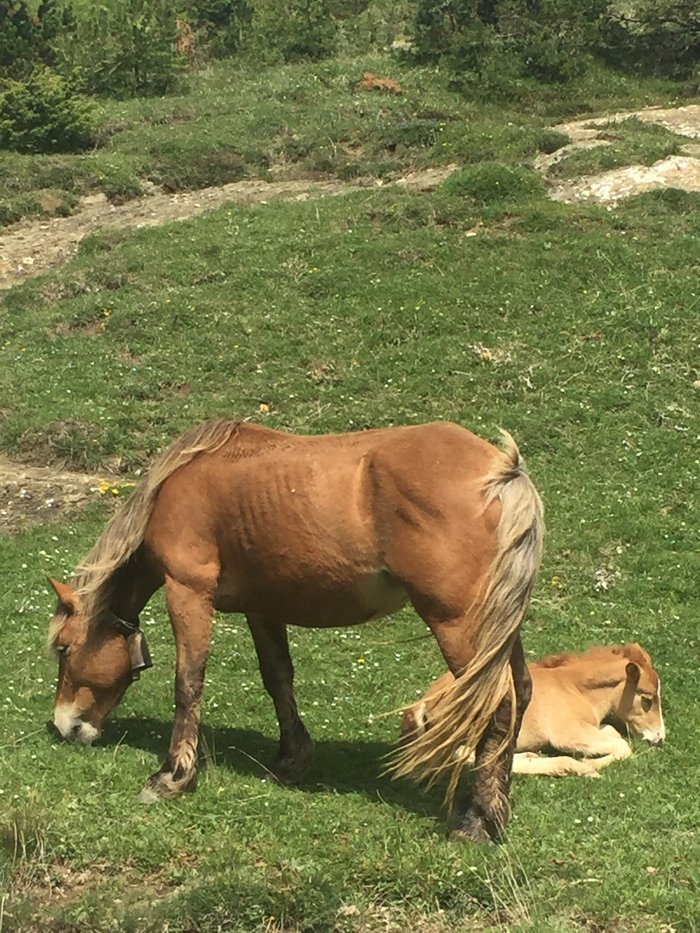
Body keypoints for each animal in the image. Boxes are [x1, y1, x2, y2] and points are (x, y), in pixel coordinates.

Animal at [46, 418, 544, 840]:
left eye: (64, 650)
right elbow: (278, 678)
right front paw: (291, 759)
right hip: (496, 631)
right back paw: (495, 805)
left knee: (498, 704)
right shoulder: (263, 608)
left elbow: (188, 683)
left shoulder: (187, 592)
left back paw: (477, 820)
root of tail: (502, 472)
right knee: (521, 691)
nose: (65, 725)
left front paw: (173, 775)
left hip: (458, 627)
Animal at [402, 640, 664, 780]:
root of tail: (424, 703)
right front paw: (590, 765)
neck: (572, 688)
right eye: (648, 699)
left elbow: (613, 731)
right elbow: (622, 745)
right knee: (462, 757)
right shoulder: (568, 734)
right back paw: (567, 766)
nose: (660, 737)